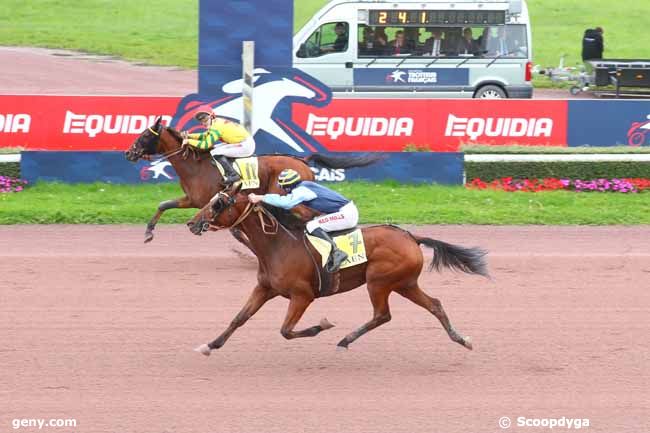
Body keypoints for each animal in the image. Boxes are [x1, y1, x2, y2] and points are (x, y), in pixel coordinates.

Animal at [124, 116, 382, 241]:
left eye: (145, 135)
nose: (129, 153)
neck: (194, 166)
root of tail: (302, 161)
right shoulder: (194, 200)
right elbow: (163, 204)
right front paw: (148, 233)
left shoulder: (213, 202)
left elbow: (238, 233)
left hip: (288, 197)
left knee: (312, 214)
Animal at [184, 189, 486, 354]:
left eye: (218, 203)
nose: (191, 223)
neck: (279, 244)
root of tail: (411, 236)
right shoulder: (265, 288)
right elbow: (239, 318)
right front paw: (210, 345)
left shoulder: (303, 295)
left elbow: (286, 330)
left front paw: (323, 325)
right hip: (404, 283)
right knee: (435, 304)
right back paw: (462, 339)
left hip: (379, 282)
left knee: (382, 315)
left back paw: (344, 340)